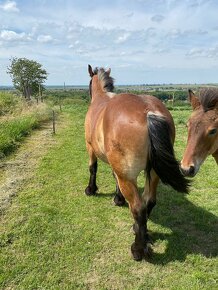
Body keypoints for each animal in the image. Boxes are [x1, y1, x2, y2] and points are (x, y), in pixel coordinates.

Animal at [85, 65, 189, 260]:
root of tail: (149, 112)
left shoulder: (90, 148)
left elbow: (92, 168)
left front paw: (91, 189)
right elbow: (113, 176)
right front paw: (118, 198)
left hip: (129, 176)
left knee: (139, 207)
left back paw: (138, 249)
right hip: (153, 173)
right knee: (149, 201)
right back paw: (141, 232)